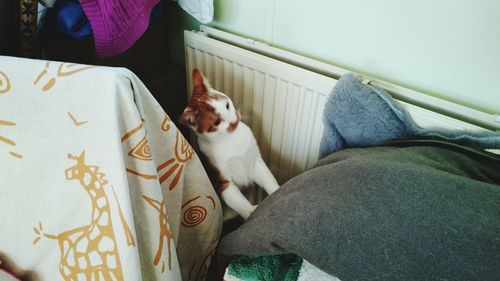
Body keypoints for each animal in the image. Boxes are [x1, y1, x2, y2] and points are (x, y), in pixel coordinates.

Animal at [180, 68, 282, 219]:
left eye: (227, 105)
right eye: (216, 122)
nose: (234, 121)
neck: (231, 138)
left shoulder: (255, 161)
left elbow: (268, 179)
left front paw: (277, 192)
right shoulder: (223, 181)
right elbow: (238, 202)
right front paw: (252, 211)